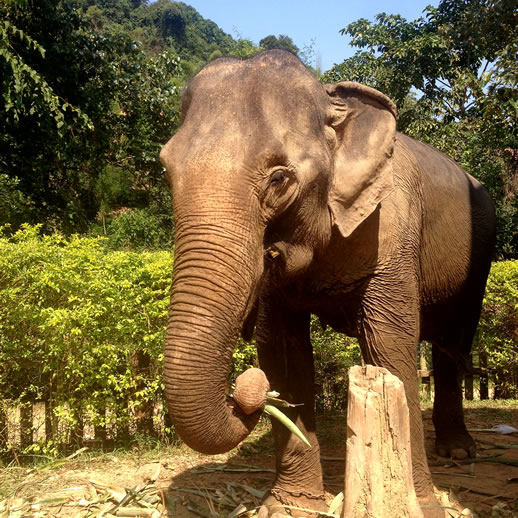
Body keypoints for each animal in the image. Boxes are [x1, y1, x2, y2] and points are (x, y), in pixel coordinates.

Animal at [160, 49, 498, 518]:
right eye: (166, 170)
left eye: (279, 179)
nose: (247, 390)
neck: (331, 97)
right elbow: (281, 347)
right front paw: (286, 507)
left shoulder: (392, 230)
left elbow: (389, 346)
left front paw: (424, 506)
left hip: (479, 254)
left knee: (454, 341)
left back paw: (459, 452)